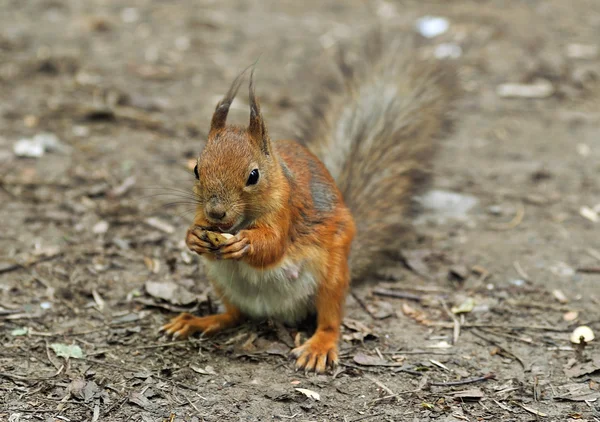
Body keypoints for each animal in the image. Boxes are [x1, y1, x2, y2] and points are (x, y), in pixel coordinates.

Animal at [159, 29, 460, 372]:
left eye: (253, 175)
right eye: (196, 169)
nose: (217, 212)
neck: (241, 220)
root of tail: (276, 312)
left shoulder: (287, 209)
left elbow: (273, 246)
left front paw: (246, 243)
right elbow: (198, 229)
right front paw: (193, 237)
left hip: (331, 277)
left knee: (330, 320)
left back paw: (319, 345)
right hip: (221, 282)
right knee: (233, 315)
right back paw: (198, 321)